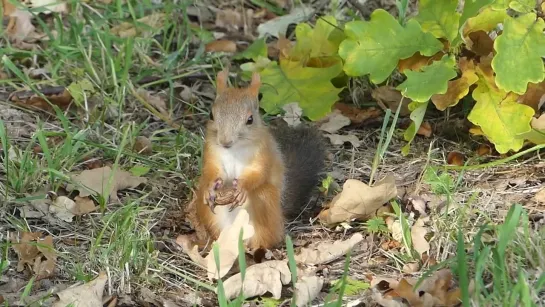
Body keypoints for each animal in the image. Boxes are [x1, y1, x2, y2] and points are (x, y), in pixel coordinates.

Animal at [193, 69, 326, 250]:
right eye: (211, 114)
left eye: (250, 120)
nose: (225, 142)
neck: (235, 150)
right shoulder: (211, 151)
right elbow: (210, 170)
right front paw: (211, 187)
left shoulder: (263, 153)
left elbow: (259, 173)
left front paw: (242, 187)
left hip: (266, 203)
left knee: (267, 235)